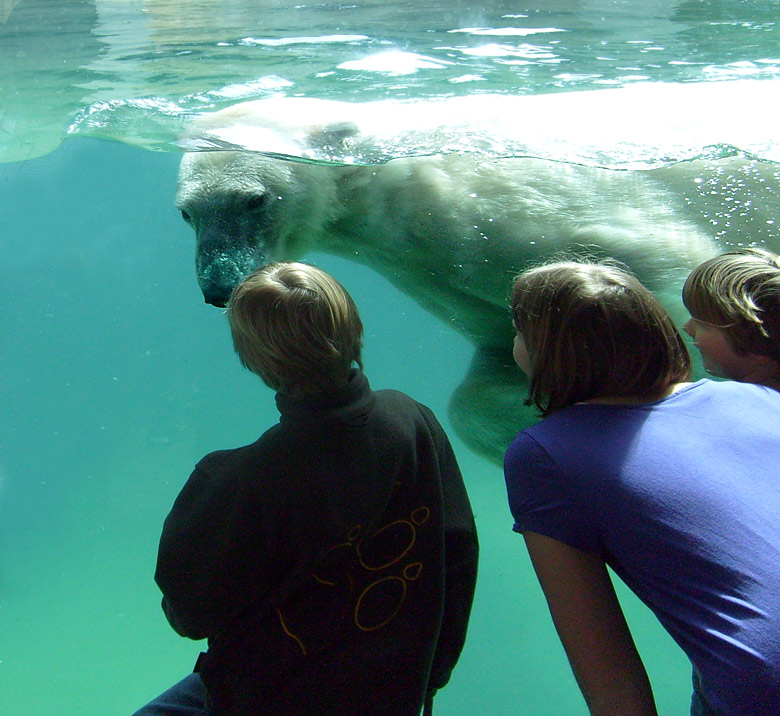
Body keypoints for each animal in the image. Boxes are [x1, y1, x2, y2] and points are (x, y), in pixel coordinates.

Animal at [177, 91, 780, 464]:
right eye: (187, 212)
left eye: (253, 199)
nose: (217, 287)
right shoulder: (439, 277)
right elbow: (485, 372)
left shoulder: (513, 210)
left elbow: (664, 269)